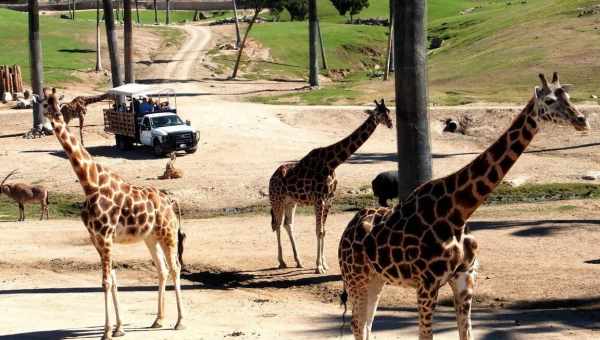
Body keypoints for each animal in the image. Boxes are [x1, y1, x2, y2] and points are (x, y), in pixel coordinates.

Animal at [35, 88, 185, 340]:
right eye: (46, 102)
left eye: (59, 103)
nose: (56, 115)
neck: (90, 183)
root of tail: (170, 200)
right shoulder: (96, 238)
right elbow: (113, 279)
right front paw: (119, 328)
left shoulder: (105, 237)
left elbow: (105, 281)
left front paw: (107, 331)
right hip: (150, 237)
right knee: (162, 269)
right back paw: (158, 319)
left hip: (168, 233)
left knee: (175, 268)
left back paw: (180, 322)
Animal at [268, 98, 394, 274]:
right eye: (380, 113)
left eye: (388, 111)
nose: (391, 123)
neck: (332, 163)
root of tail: (272, 177)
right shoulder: (319, 199)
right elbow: (318, 230)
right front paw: (318, 266)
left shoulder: (329, 200)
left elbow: (324, 231)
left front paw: (324, 264)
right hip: (277, 200)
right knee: (277, 225)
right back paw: (281, 262)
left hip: (290, 201)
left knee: (288, 224)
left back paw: (298, 261)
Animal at [338, 72, 592, 340]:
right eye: (550, 100)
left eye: (569, 96)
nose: (582, 121)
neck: (459, 209)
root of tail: (348, 228)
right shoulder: (427, 284)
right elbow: (425, 335)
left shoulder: (466, 278)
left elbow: (466, 333)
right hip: (355, 276)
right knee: (357, 324)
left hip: (376, 278)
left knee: (367, 325)